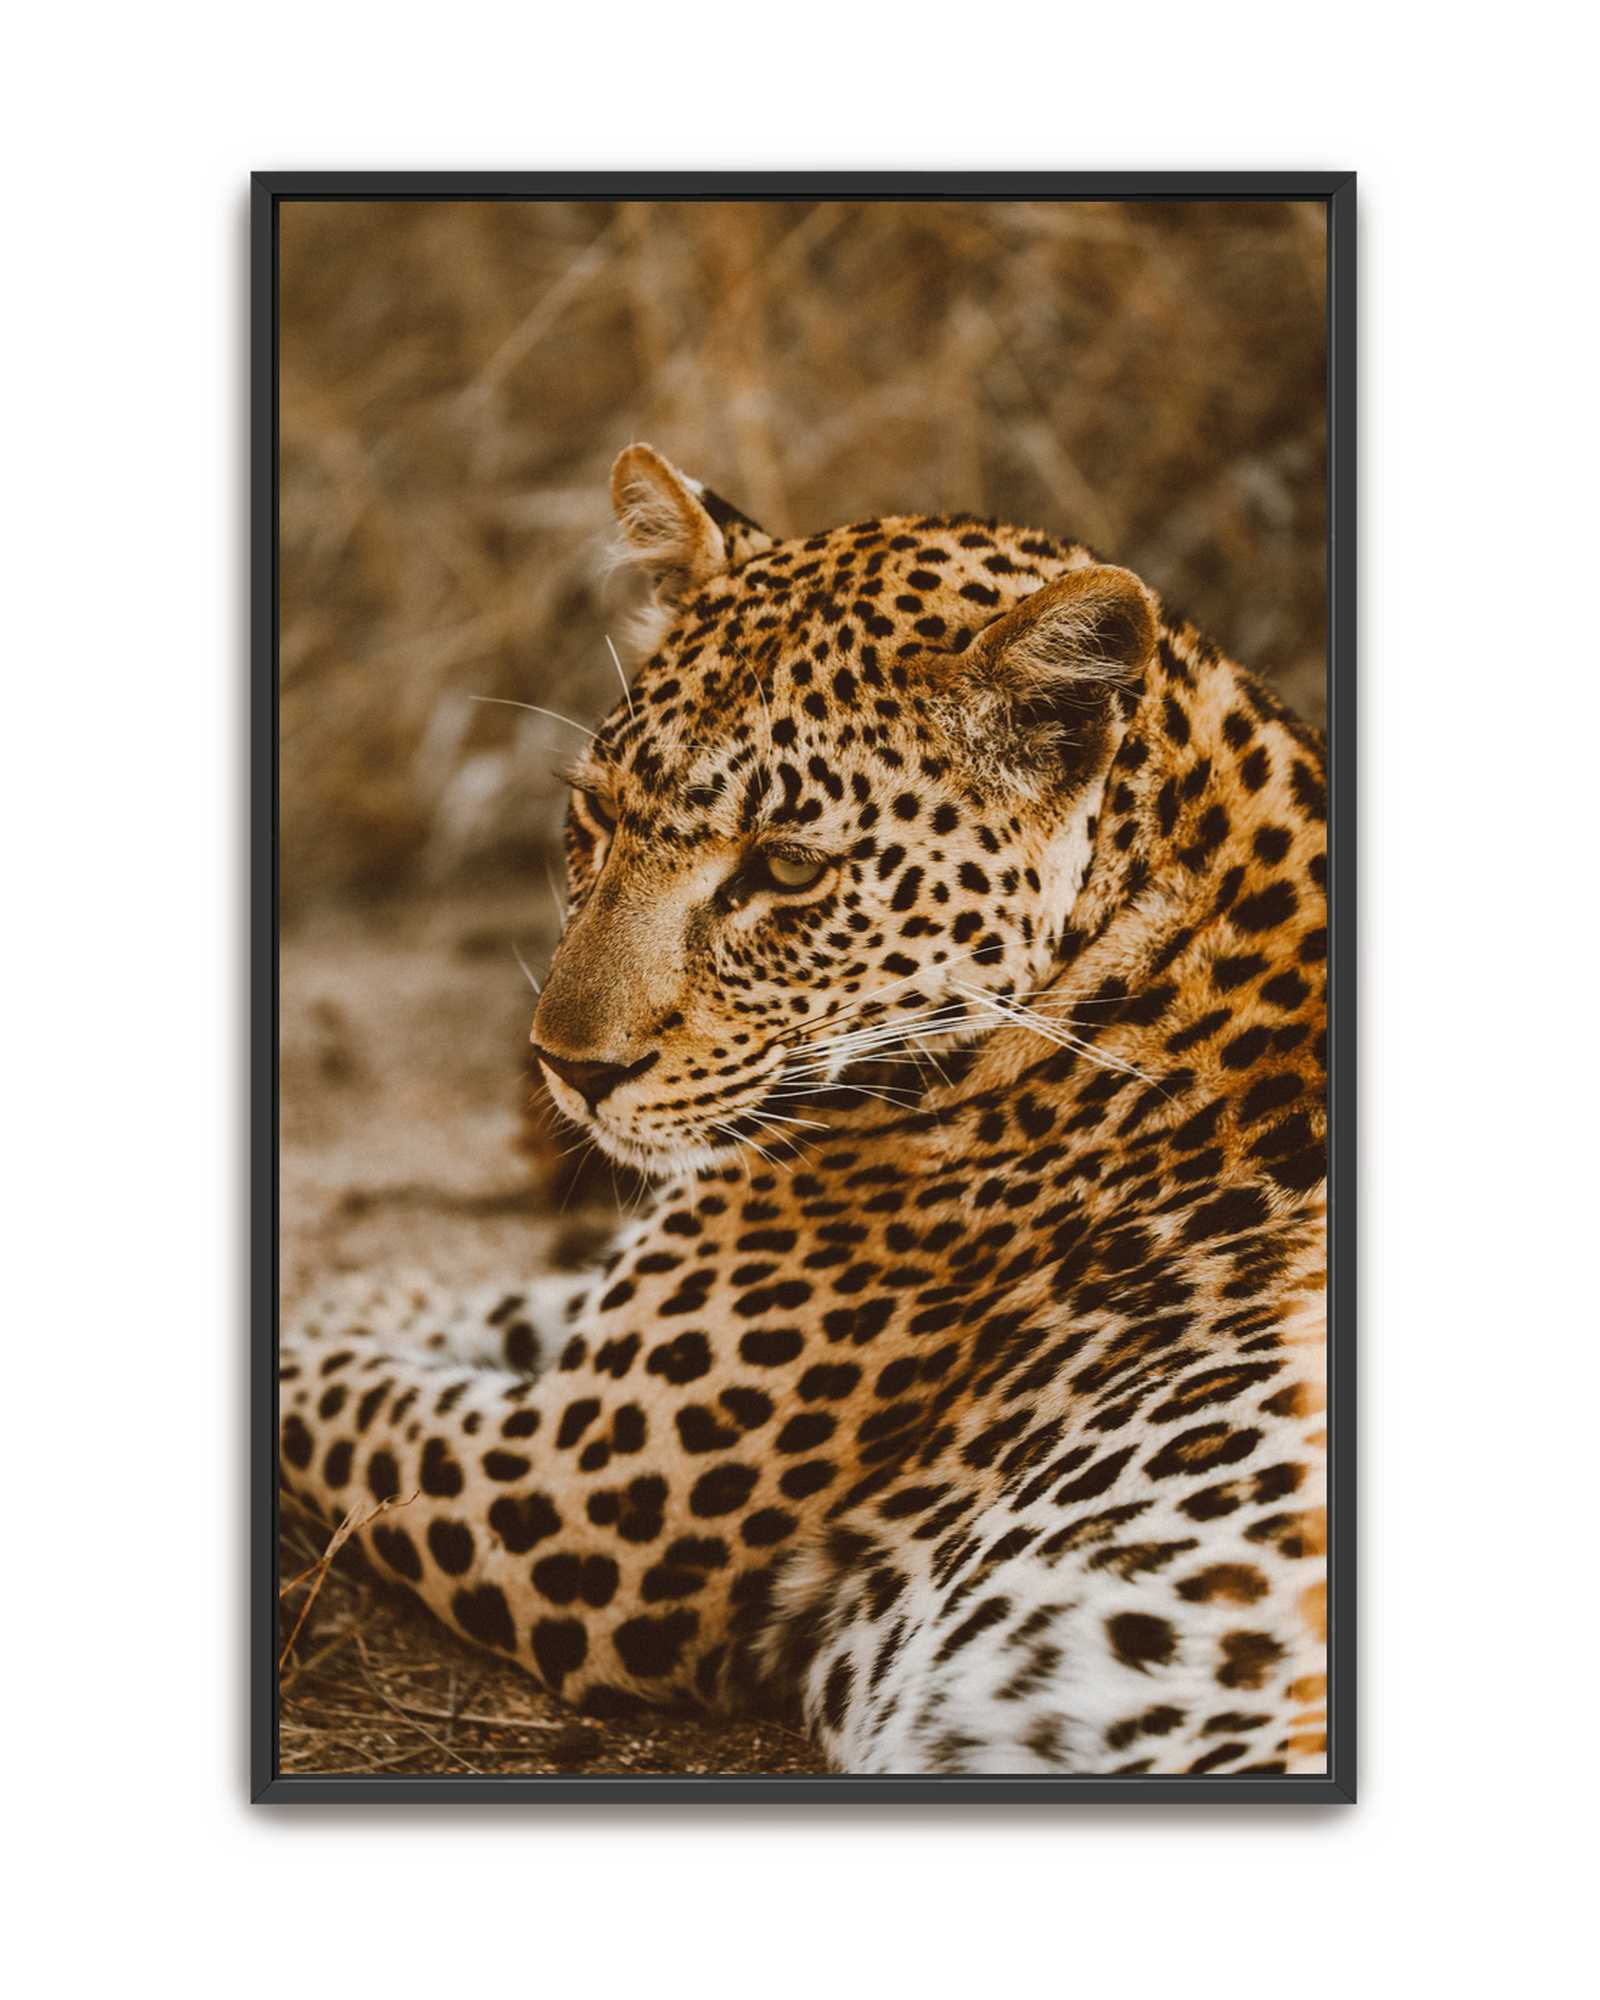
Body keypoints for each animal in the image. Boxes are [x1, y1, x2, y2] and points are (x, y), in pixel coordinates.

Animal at [280, 444, 1327, 1776]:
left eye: (783, 868)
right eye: (599, 816)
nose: (567, 1067)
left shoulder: (565, 1494)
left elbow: (331, 1395)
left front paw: (336, 1316)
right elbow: (502, 1302)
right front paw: (380, 1295)